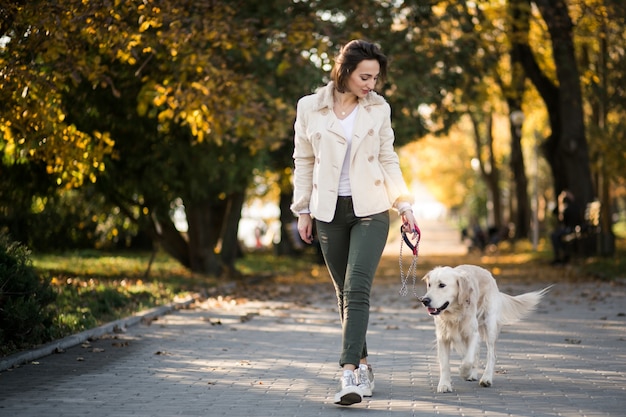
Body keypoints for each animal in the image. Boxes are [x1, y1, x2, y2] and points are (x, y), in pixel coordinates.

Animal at [416, 264, 548, 392]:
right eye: (429, 285)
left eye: (442, 285)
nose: (424, 300)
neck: (455, 314)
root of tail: (488, 273)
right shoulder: (443, 337)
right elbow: (445, 364)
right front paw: (444, 384)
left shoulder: (472, 334)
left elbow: (468, 360)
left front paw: (464, 372)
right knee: (477, 352)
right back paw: (473, 374)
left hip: (489, 325)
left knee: (491, 355)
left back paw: (486, 378)